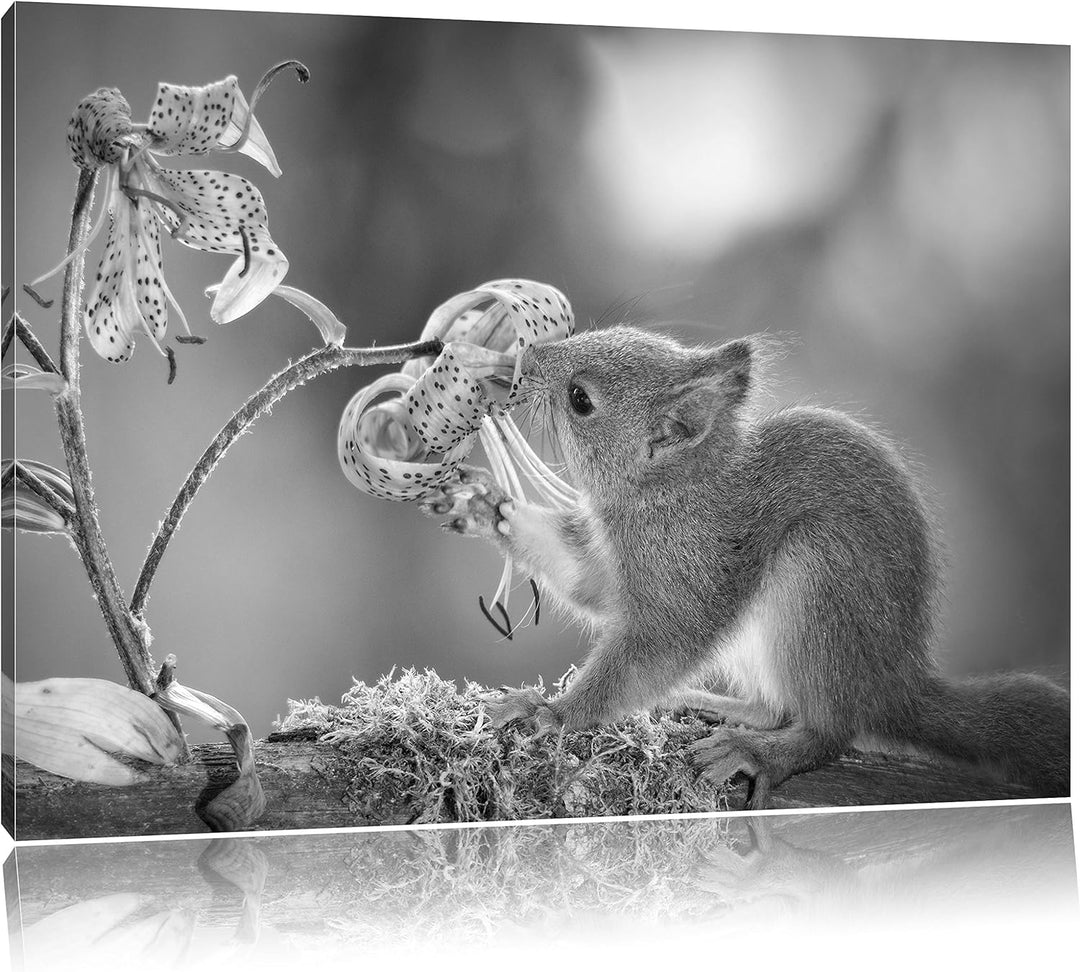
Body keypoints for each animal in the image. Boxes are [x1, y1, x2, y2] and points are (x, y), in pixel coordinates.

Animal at [420, 324, 1070, 808]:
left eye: (581, 399)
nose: (521, 359)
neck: (669, 492)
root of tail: (891, 683)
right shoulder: (615, 566)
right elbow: (588, 586)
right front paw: (485, 507)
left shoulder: (691, 570)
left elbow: (652, 649)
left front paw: (552, 713)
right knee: (774, 707)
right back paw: (713, 707)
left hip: (819, 585)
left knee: (827, 730)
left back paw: (760, 752)